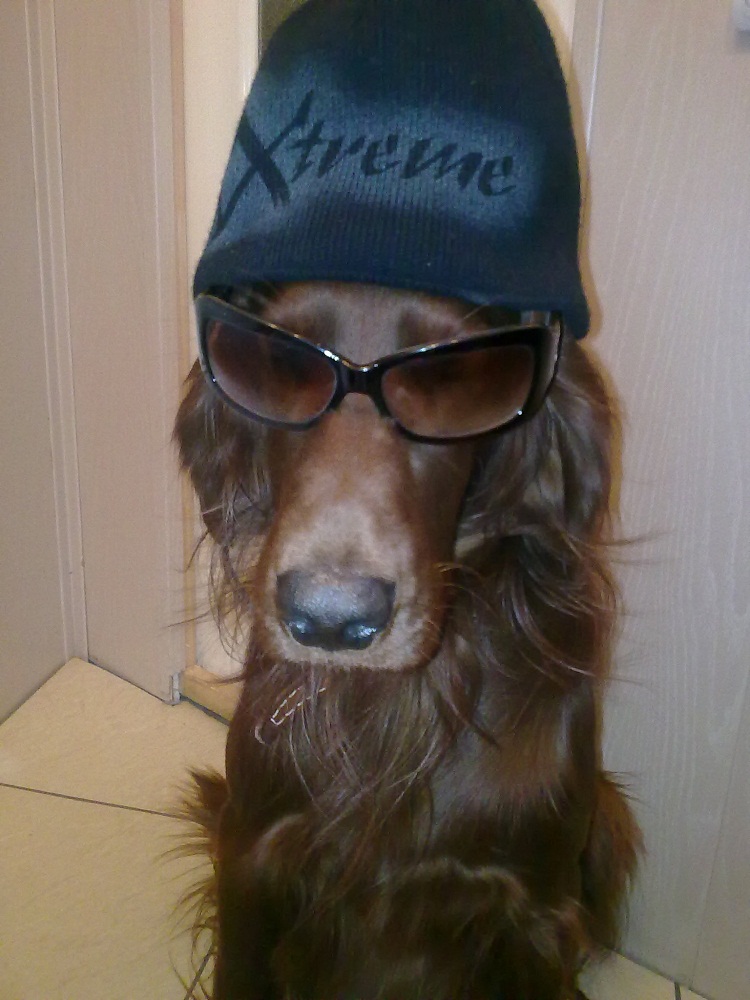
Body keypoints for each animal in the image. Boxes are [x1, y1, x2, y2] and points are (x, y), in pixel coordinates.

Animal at [175, 279, 641, 999]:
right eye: (276, 360)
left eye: (456, 374)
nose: (331, 619)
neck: (400, 706)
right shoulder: (250, 859)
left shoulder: (533, 912)